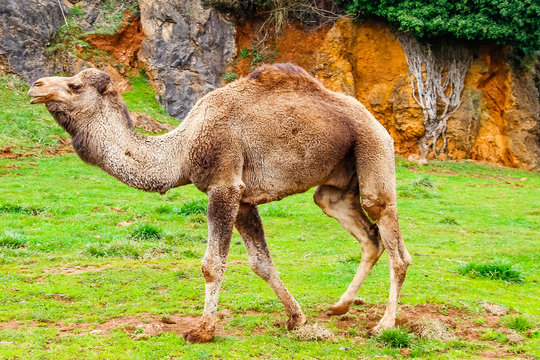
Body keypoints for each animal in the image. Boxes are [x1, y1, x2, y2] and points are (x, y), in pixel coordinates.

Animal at [28, 64, 410, 344]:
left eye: (75, 86)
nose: (36, 86)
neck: (181, 151)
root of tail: (376, 121)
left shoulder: (224, 185)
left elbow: (212, 265)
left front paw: (202, 330)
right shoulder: (243, 199)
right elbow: (261, 262)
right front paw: (296, 318)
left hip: (373, 149)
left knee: (391, 235)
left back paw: (384, 325)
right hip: (336, 187)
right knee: (365, 233)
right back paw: (338, 307)